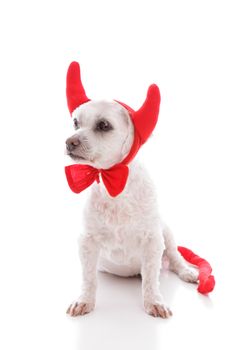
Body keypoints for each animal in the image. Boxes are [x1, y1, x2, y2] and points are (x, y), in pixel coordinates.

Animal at [65, 98, 198, 318]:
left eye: (104, 125)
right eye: (75, 122)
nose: (69, 142)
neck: (115, 186)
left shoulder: (153, 240)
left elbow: (151, 279)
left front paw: (153, 301)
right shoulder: (87, 242)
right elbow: (88, 278)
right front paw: (85, 300)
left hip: (167, 234)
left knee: (175, 258)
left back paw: (186, 271)